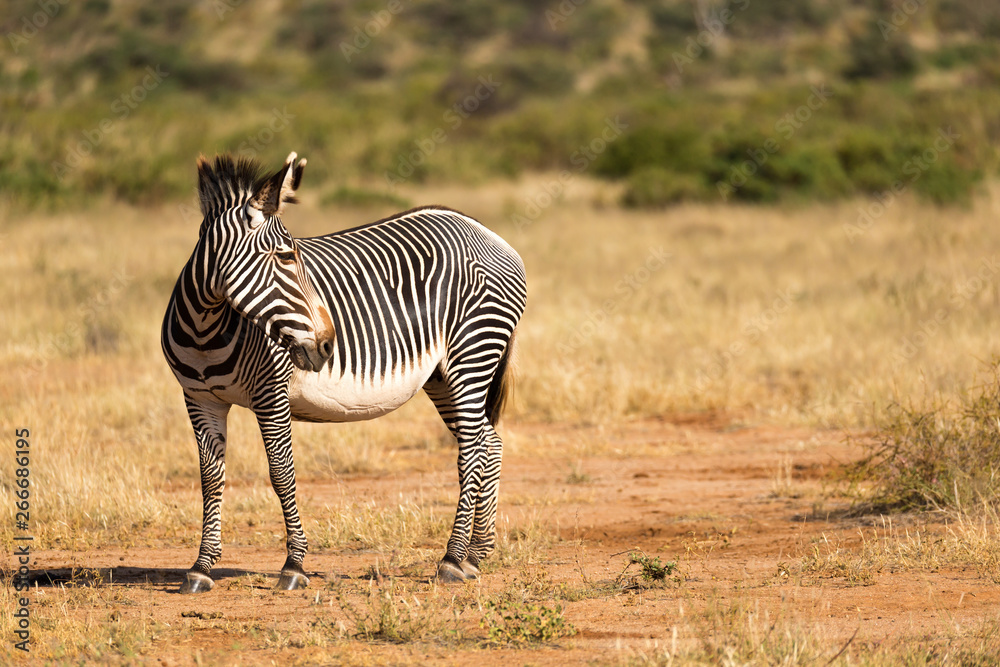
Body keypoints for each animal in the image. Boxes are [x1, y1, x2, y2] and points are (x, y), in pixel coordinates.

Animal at [162, 152, 526, 593]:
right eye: (287, 257)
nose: (326, 344)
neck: (206, 326)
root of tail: (486, 231)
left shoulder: (271, 393)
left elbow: (282, 474)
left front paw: (294, 565)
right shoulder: (199, 399)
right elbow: (211, 479)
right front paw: (201, 567)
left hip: (472, 353)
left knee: (472, 451)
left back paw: (453, 559)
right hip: (442, 376)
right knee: (490, 444)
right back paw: (476, 554)